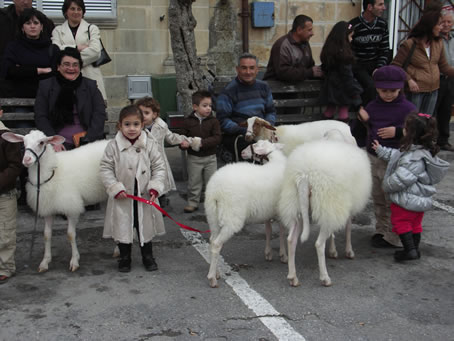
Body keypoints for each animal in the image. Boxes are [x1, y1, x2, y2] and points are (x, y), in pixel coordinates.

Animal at [206, 140, 288, 286]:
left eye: (255, 145)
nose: (242, 152)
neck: (276, 161)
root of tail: (216, 190)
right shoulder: (280, 211)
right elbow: (282, 232)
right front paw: (283, 255)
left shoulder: (267, 211)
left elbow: (268, 230)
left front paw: (268, 253)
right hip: (231, 218)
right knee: (216, 244)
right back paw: (212, 278)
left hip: (212, 216)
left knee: (211, 241)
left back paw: (217, 272)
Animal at [280, 137, 372, 284]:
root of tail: (305, 176)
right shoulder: (343, 208)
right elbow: (348, 228)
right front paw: (348, 251)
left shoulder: (335, 210)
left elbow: (334, 233)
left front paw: (333, 251)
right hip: (326, 202)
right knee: (318, 244)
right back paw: (325, 278)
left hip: (295, 206)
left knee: (291, 240)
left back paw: (293, 277)